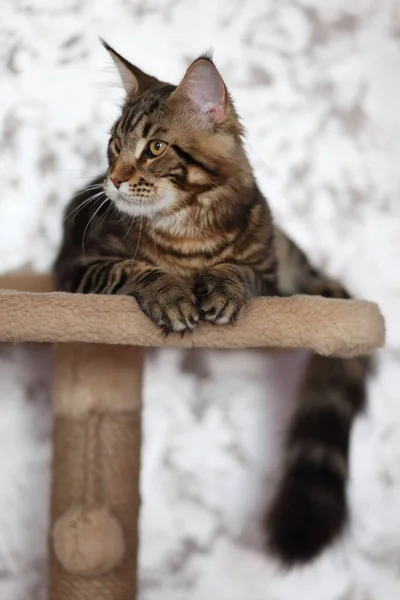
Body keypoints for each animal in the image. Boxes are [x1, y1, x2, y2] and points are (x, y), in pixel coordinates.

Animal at [53, 43, 368, 568]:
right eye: (114, 145)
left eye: (154, 148)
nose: (114, 180)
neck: (190, 230)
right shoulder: (78, 268)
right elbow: (134, 270)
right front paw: (173, 295)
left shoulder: (268, 275)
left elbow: (238, 272)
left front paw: (218, 288)